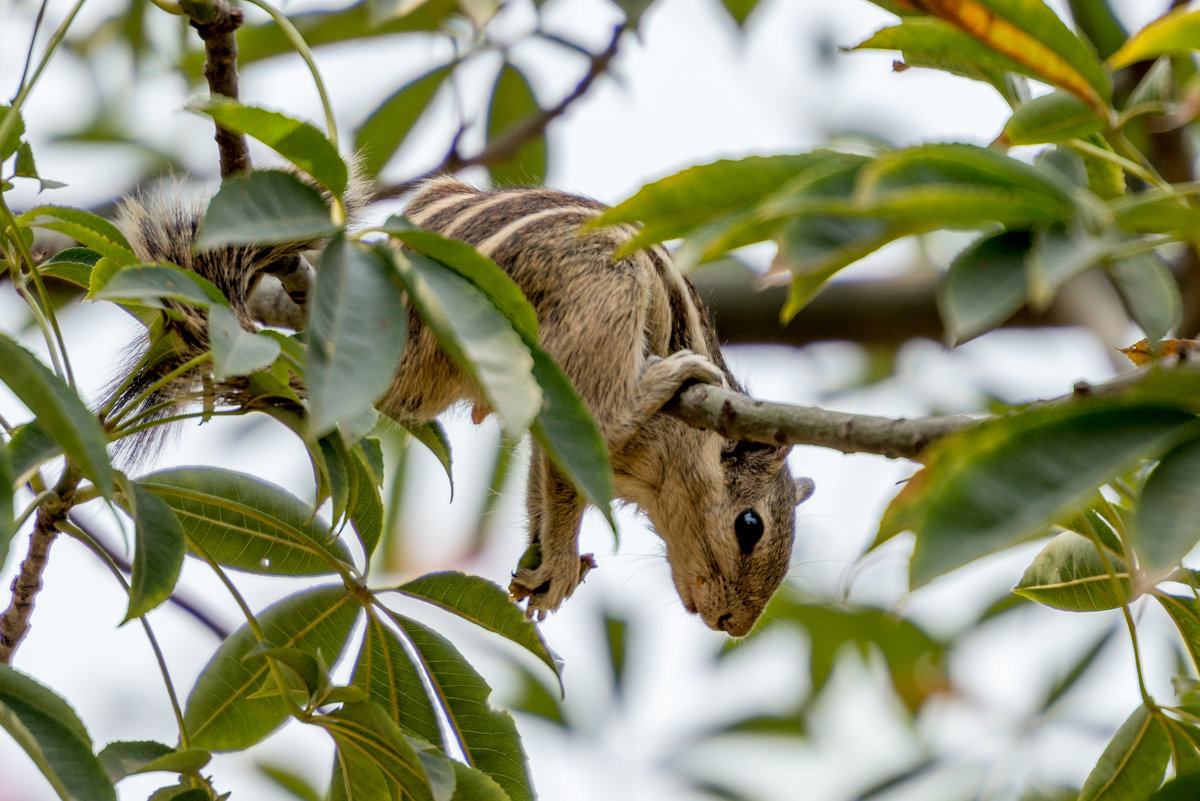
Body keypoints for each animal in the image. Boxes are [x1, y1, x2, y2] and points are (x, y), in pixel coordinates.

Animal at [112, 172, 816, 633]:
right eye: (749, 526)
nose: (732, 625)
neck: (662, 471)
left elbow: (540, 483)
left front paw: (540, 565)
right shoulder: (594, 429)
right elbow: (566, 474)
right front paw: (561, 560)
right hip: (603, 286)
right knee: (605, 397)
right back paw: (670, 375)